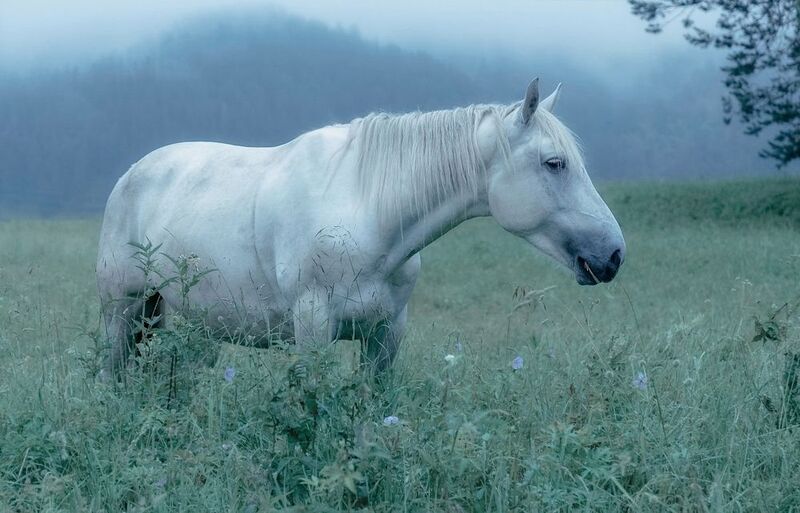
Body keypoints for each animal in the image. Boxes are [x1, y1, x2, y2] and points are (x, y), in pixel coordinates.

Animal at [96, 78, 625, 375]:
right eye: (554, 163)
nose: (613, 255)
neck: (367, 212)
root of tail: (132, 174)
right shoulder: (313, 328)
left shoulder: (386, 336)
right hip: (122, 312)